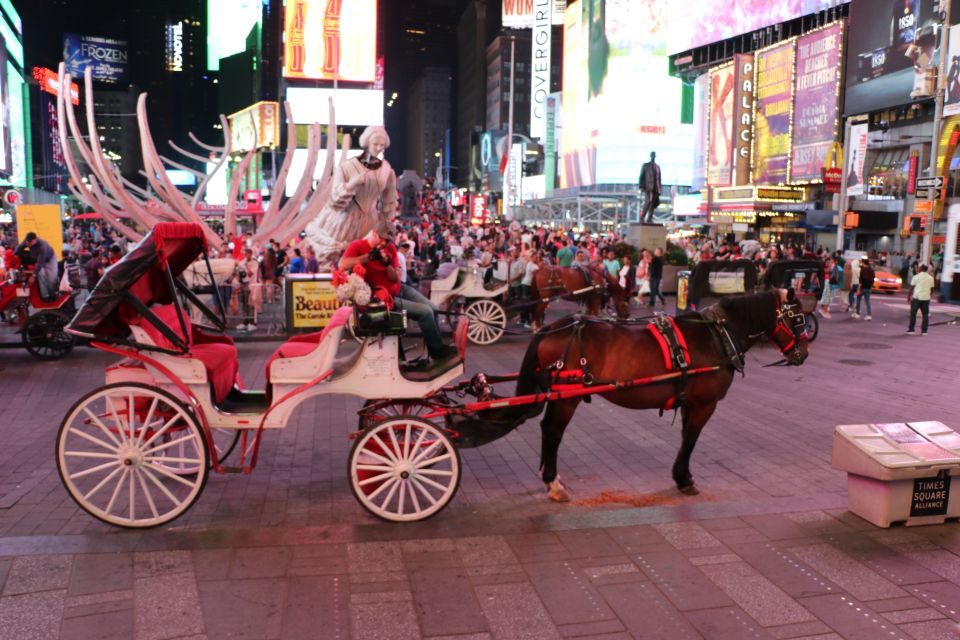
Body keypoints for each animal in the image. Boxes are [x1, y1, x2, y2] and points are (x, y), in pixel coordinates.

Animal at [512, 288, 808, 502]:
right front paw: (684, 479)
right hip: (567, 397)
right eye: (797, 318)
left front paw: (681, 476)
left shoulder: (689, 401)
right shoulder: (705, 404)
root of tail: (554, 328)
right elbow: (691, 439)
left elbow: (685, 436)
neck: (717, 334)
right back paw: (552, 482)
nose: (803, 354)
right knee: (552, 431)